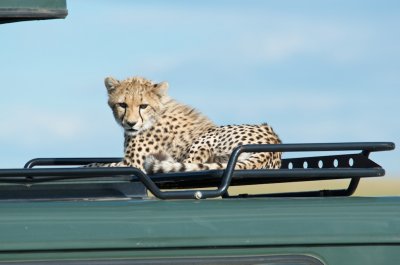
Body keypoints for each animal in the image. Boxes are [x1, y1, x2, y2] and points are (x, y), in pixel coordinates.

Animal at [87, 76, 282, 173]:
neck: (156, 114)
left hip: (205, 138)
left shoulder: (133, 163)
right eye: (122, 104)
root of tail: (272, 141)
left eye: (143, 105)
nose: (130, 123)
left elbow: (96, 165)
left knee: (187, 165)